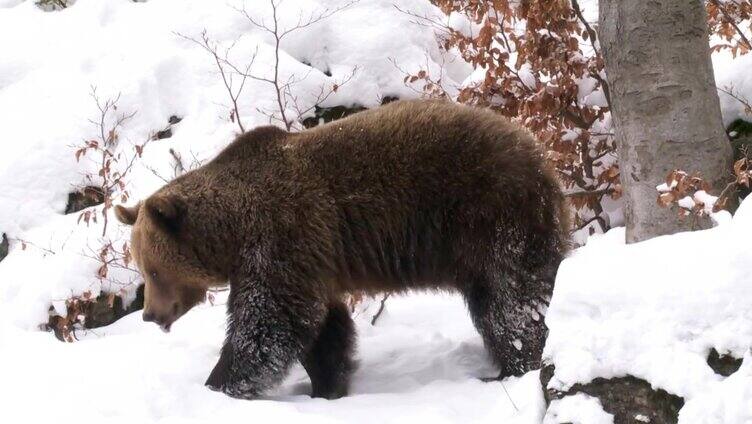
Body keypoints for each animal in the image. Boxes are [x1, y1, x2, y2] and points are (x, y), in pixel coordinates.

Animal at [114, 99, 568, 400]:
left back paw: (515, 367)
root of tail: (540, 153)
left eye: (153, 271)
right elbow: (323, 328)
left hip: (492, 214)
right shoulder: (312, 258)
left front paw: (219, 384)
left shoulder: (280, 235)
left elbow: (269, 322)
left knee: (510, 300)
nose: (149, 314)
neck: (233, 232)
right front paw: (326, 385)